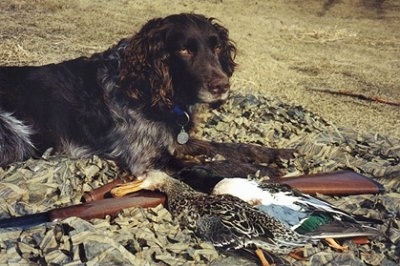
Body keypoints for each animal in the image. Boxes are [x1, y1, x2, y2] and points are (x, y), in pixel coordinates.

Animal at [0, 13, 294, 179]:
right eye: (184, 50)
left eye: (216, 47)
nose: (222, 86)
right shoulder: (145, 158)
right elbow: (213, 165)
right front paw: (264, 171)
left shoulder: (174, 139)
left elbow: (227, 147)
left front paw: (274, 153)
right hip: (13, 132)